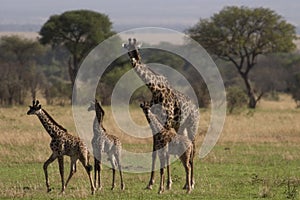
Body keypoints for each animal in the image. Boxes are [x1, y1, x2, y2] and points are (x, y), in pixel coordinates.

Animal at [123, 37, 198, 189]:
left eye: (137, 48)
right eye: (128, 48)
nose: (135, 59)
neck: (155, 89)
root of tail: (196, 108)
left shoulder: (166, 122)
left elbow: (166, 154)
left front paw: (168, 183)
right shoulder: (155, 123)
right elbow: (154, 153)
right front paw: (150, 183)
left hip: (192, 126)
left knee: (193, 148)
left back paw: (192, 183)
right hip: (181, 127)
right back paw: (185, 184)